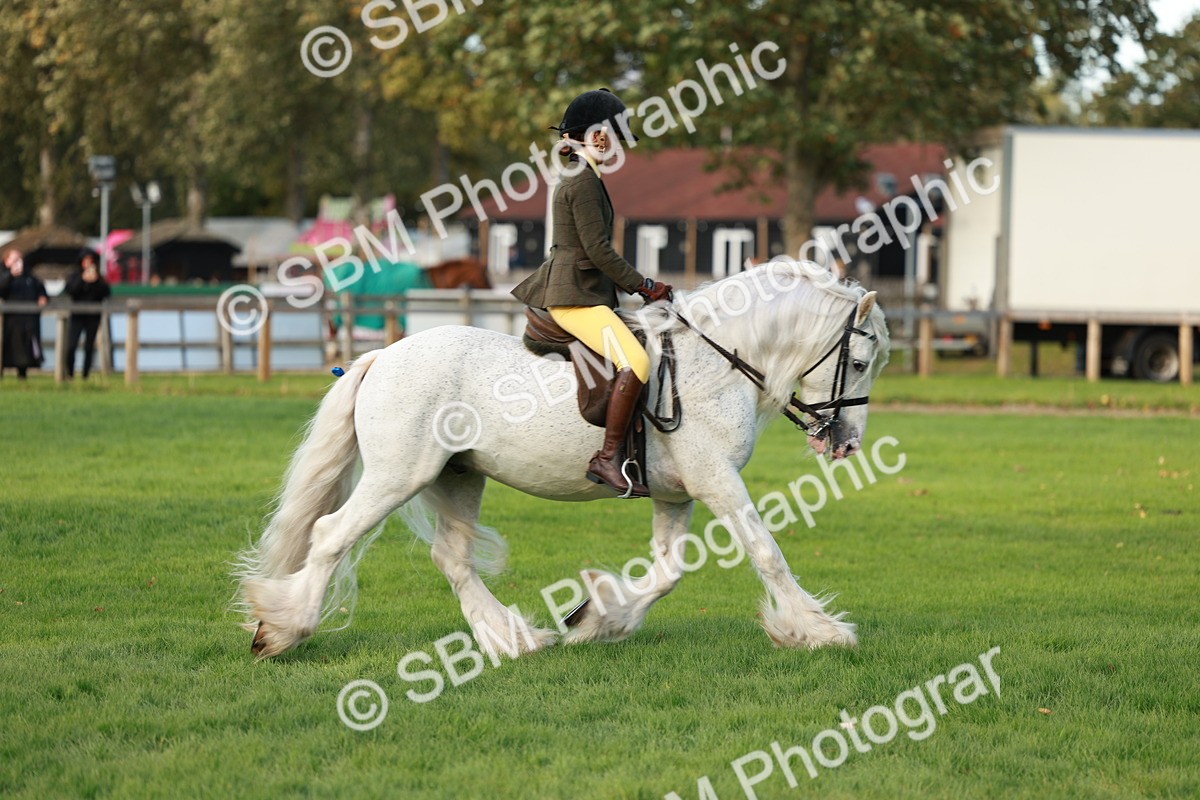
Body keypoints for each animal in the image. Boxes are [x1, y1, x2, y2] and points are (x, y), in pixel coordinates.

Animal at [235, 260, 890, 659]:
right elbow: (767, 554)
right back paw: (283, 629)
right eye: (859, 363)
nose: (846, 443)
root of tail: (381, 357)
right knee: (329, 536)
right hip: (399, 476)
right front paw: (820, 630)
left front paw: (599, 618)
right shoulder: (717, 482)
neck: (716, 362)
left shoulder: (678, 493)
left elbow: (669, 572)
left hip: (458, 477)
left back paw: (511, 638)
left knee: (452, 558)